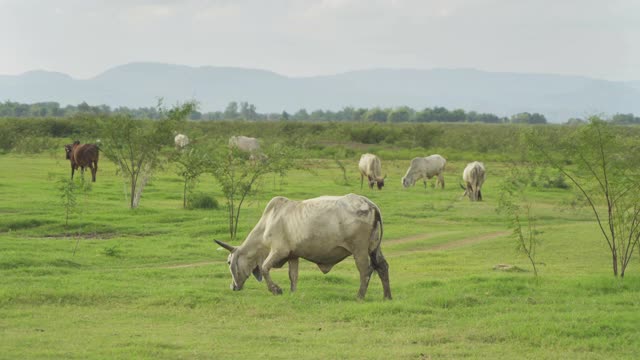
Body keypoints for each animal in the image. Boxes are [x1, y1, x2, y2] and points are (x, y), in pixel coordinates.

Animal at [215, 193, 390, 300]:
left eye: (229, 262)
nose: (232, 287)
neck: (267, 224)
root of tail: (370, 204)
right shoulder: (293, 255)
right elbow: (293, 275)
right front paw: (292, 293)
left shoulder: (279, 251)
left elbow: (264, 268)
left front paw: (276, 290)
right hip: (374, 248)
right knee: (382, 266)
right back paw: (387, 296)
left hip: (359, 250)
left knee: (365, 270)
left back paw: (359, 296)